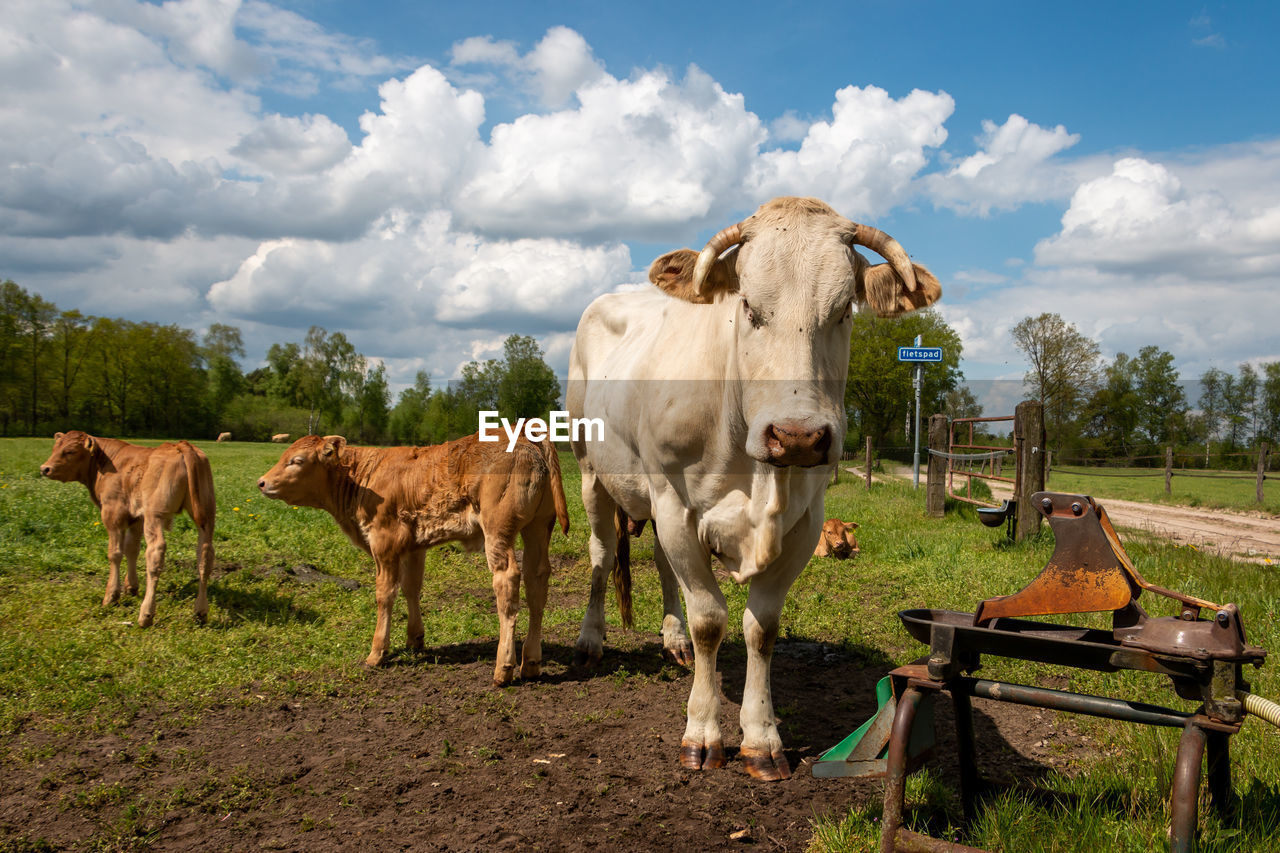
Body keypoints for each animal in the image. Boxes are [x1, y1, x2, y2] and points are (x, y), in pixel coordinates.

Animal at [40, 432, 217, 625]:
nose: (45, 468)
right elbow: (132, 549)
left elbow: (115, 553)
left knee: (155, 553)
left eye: (70, 451)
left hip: (155, 515)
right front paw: (131, 587)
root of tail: (180, 445)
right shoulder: (137, 518)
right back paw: (200, 611)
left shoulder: (113, 515)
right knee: (205, 556)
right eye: (55, 448)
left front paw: (111, 596)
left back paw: (146, 614)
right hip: (206, 514)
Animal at [259, 432, 570, 686]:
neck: (362, 478)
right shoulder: (413, 547)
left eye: (297, 461)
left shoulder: (384, 542)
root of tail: (526, 435)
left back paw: (503, 667)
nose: (262, 482)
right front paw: (415, 639)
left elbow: (385, 595)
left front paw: (377, 652)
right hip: (538, 528)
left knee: (507, 583)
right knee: (537, 583)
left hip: (498, 530)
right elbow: (411, 588)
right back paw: (530, 662)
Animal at [570, 197, 942, 778]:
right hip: (592, 474)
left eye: (844, 311)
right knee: (602, 556)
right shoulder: (676, 504)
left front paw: (761, 737)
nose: (797, 435)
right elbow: (709, 619)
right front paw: (702, 732)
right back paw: (591, 640)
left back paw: (673, 639)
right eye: (747, 306)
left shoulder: (806, 521)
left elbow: (761, 626)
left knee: (661, 564)